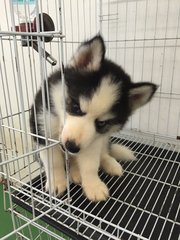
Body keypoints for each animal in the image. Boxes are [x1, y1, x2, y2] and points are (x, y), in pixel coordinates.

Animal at [30, 34, 157, 202]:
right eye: (76, 107)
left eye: (101, 123)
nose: (71, 146)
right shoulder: (42, 127)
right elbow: (54, 162)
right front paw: (56, 182)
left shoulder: (92, 140)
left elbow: (90, 165)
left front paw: (93, 185)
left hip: (102, 139)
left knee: (103, 152)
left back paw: (107, 164)